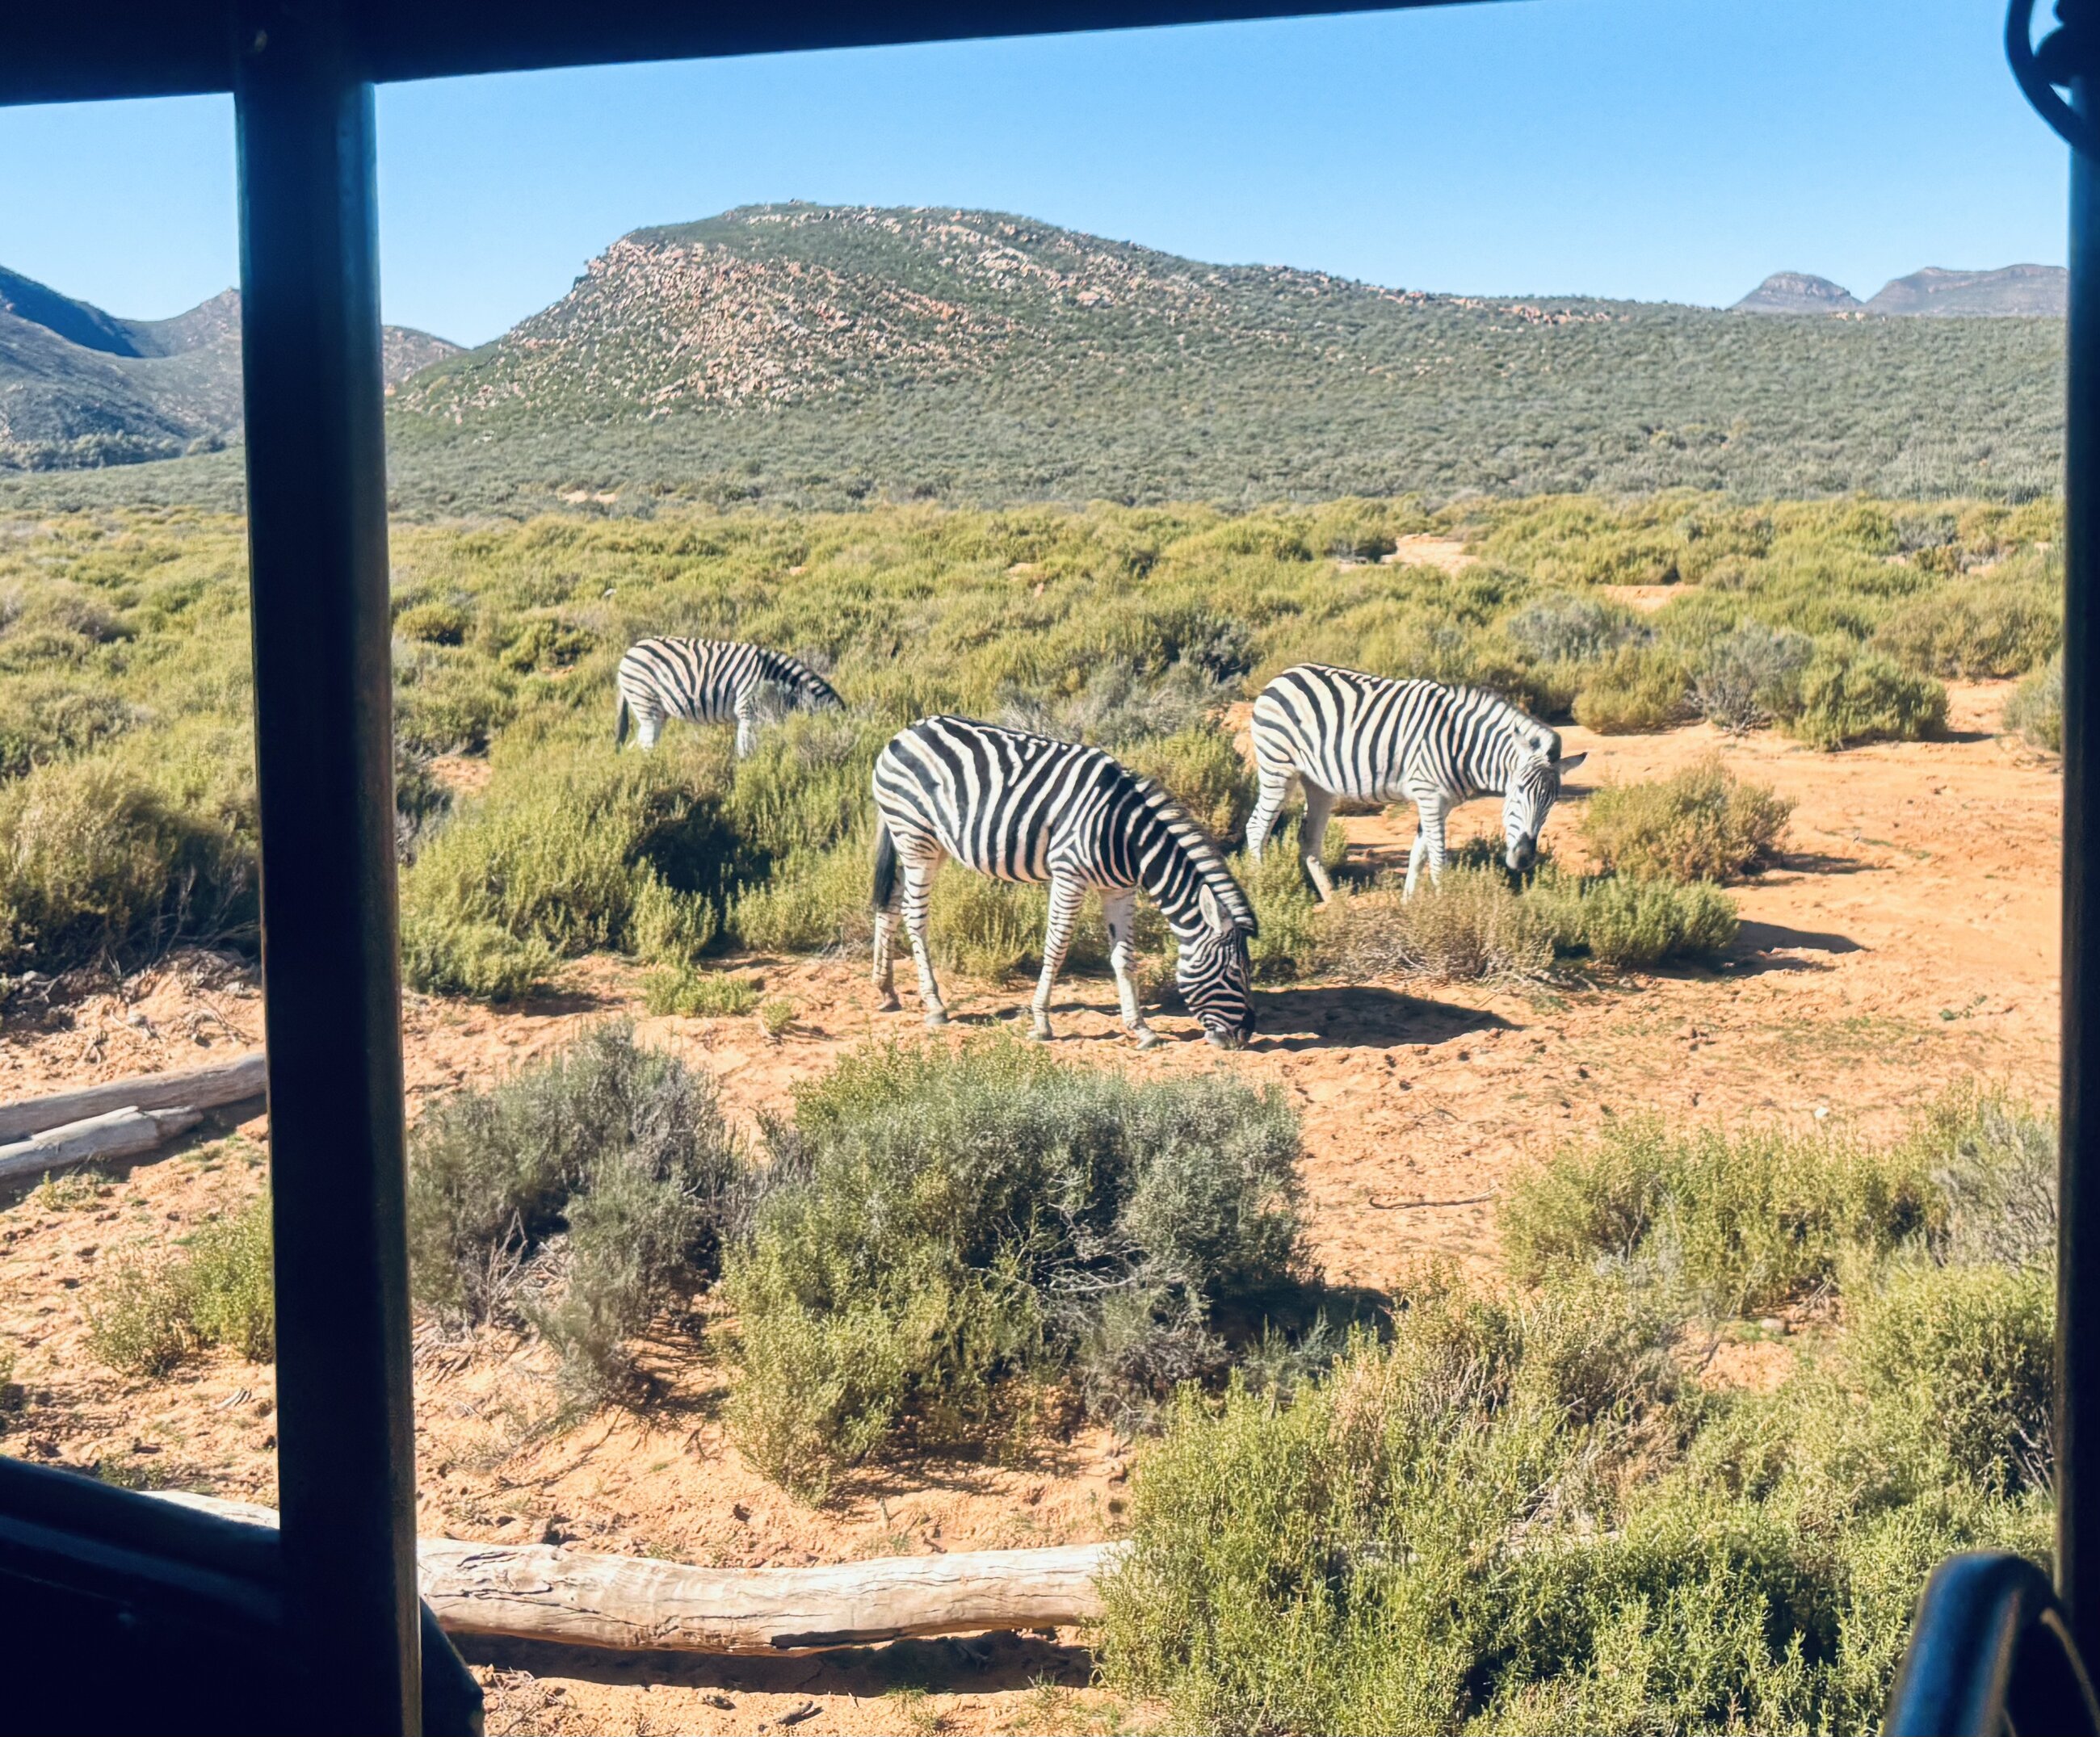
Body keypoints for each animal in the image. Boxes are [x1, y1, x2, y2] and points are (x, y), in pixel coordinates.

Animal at [614, 636, 843, 757]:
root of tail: (628, 652)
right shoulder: (747, 713)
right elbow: (744, 749)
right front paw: (745, 776)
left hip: (657, 713)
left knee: (637, 746)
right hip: (646, 702)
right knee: (645, 746)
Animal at [871, 715, 1259, 1050]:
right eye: (1234, 972)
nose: (1243, 1037)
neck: (1127, 837)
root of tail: (905, 732)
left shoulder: (1120, 888)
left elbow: (1124, 957)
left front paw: (1141, 1029)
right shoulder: (1069, 874)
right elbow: (1056, 948)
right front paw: (1042, 1024)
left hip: (917, 842)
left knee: (889, 906)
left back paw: (886, 991)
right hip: (916, 838)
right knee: (914, 917)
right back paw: (935, 1005)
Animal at [1246, 663, 1586, 902]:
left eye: (1551, 802)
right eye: (1517, 791)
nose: (1524, 859)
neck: (1463, 746)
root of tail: (1285, 674)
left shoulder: (1439, 804)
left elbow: (1418, 855)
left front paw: (1409, 907)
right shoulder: (1430, 796)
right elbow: (1438, 861)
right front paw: (1444, 912)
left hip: (1319, 784)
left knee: (1309, 839)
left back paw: (1333, 900)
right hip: (1278, 767)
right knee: (1257, 828)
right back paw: (1264, 889)